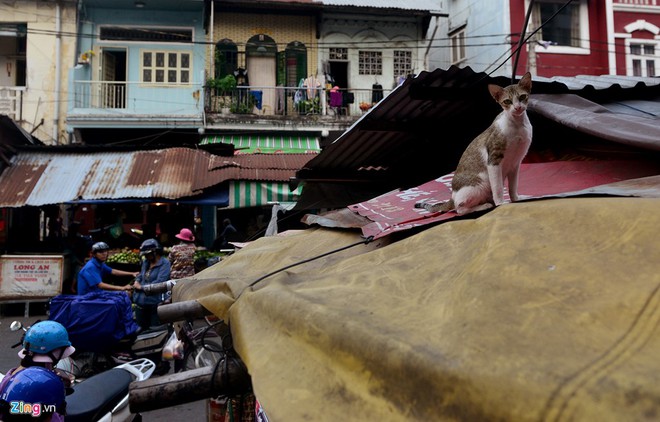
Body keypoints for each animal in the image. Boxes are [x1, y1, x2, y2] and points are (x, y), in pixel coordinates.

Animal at [416, 71, 532, 214]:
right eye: (507, 101)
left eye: (522, 97)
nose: (517, 107)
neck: (518, 125)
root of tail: (452, 196)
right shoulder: (493, 160)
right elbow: (498, 187)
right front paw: (501, 203)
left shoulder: (516, 162)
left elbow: (513, 186)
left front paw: (515, 199)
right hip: (480, 184)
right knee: (459, 209)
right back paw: (484, 206)